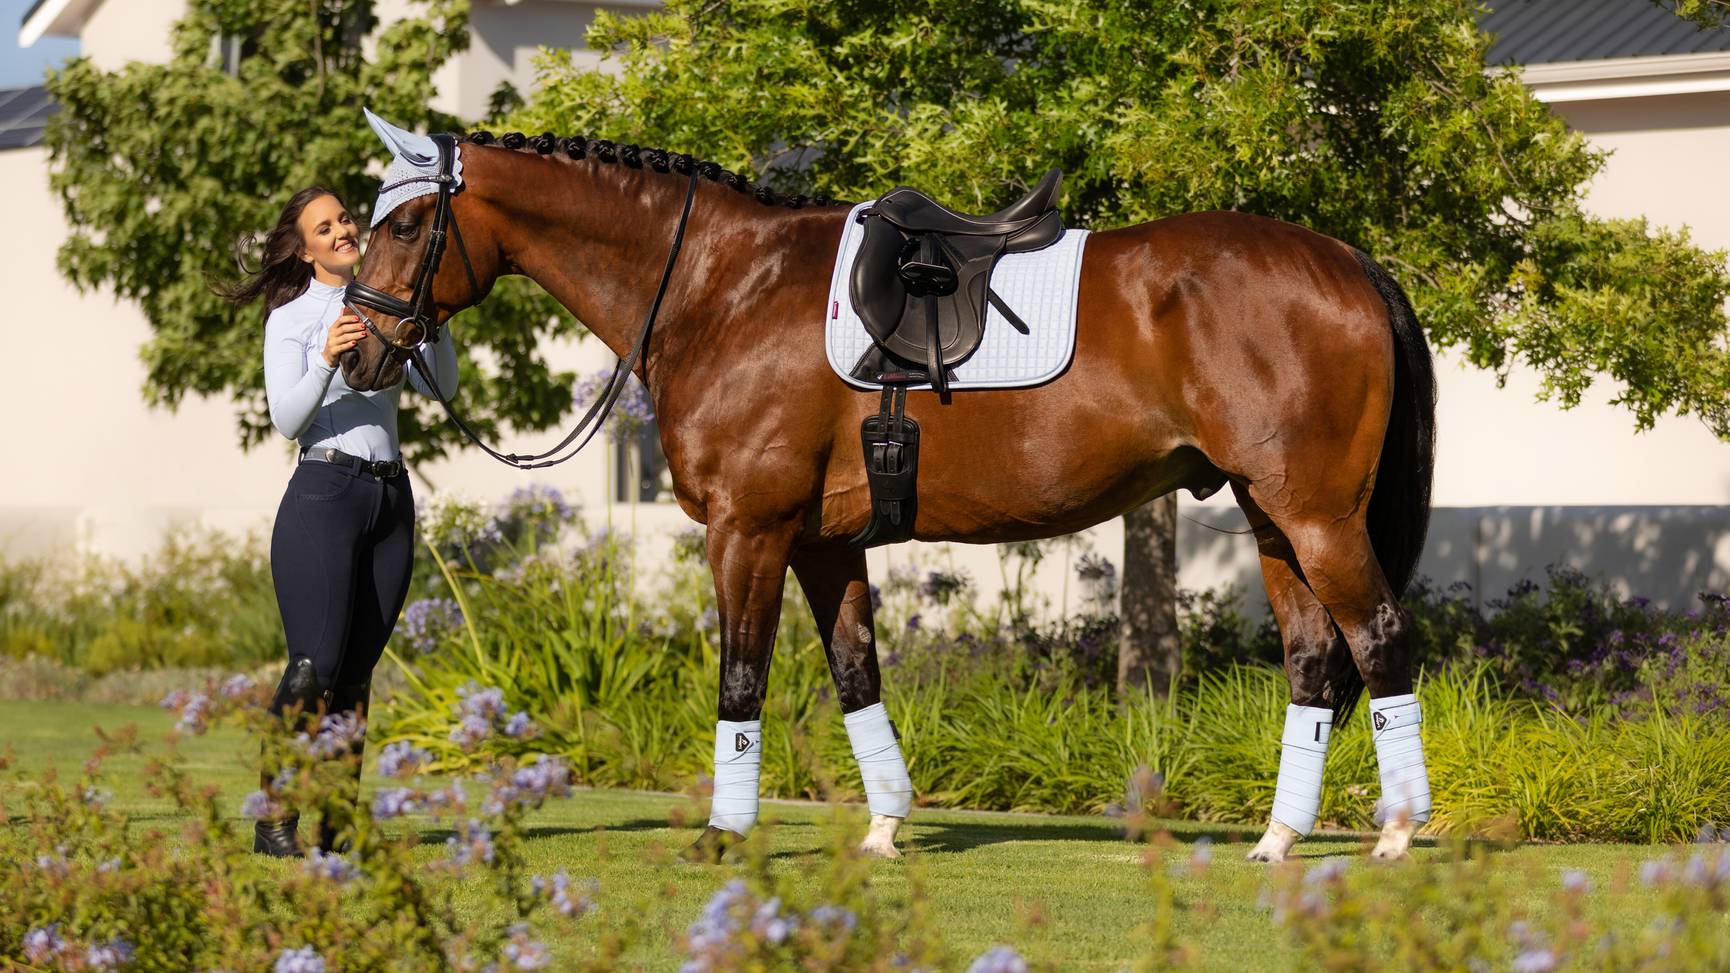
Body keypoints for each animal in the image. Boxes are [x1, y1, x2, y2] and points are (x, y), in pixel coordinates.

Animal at [343, 118, 1437, 864]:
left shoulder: (747, 531)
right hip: (1271, 518)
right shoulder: (826, 543)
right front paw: (882, 827)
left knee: (1379, 639)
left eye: (408, 222)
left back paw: (1393, 834)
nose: (355, 351)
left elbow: (741, 679)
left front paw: (722, 834)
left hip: (1318, 517)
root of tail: (1350, 262)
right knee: (1312, 659)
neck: (721, 286)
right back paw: (1277, 840)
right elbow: (857, 675)